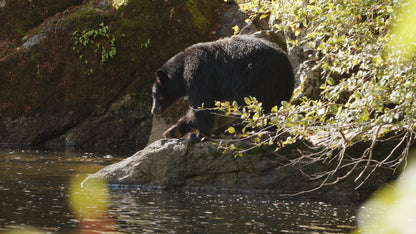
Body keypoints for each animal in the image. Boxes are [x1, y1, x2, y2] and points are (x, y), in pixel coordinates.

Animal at [151, 34, 294, 141]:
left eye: (154, 94)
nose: (153, 110)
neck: (182, 68)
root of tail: (288, 70)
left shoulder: (197, 75)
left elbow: (202, 104)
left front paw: (198, 135)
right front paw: (174, 130)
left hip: (257, 79)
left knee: (248, 103)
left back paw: (239, 127)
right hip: (277, 88)